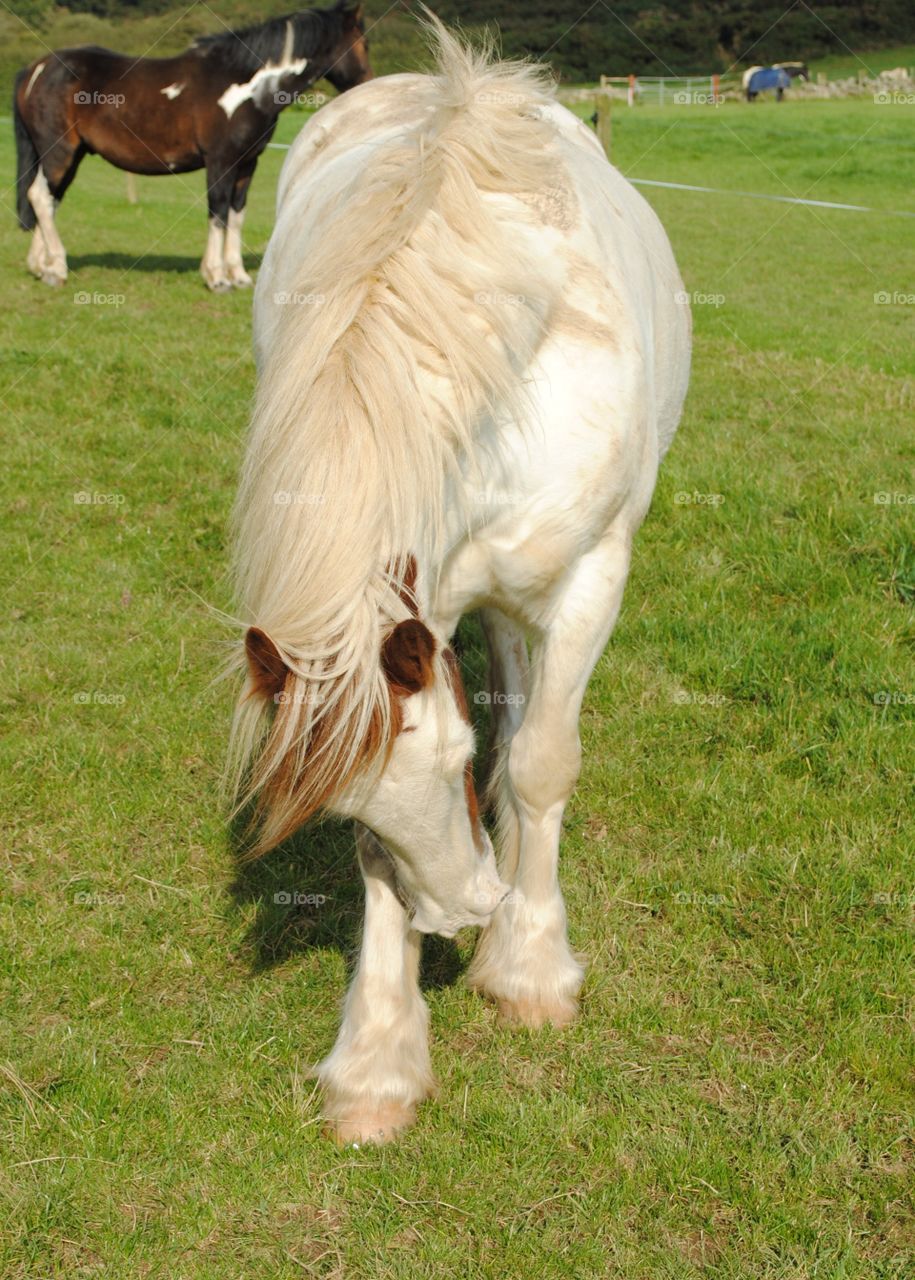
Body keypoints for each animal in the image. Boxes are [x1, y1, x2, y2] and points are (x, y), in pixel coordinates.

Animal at [13, 1, 372, 291]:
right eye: (363, 43)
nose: (368, 84)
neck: (248, 85)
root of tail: (38, 68)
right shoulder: (220, 162)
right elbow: (218, 212)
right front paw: (217, 277)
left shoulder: (247, 164)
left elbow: (236, 214)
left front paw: (238, 275)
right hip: (59, 152)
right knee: (40, 196)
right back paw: (57, 268)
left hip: (71, 155)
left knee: (48, 199)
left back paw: (41, 266)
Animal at [229, 17, 691, 1144]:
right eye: (344, 807)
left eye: (451, 754)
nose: (457, 914)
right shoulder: (417, 609)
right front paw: (377, 1061)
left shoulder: (589, 579)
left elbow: (543, 762)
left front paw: (527, 966)